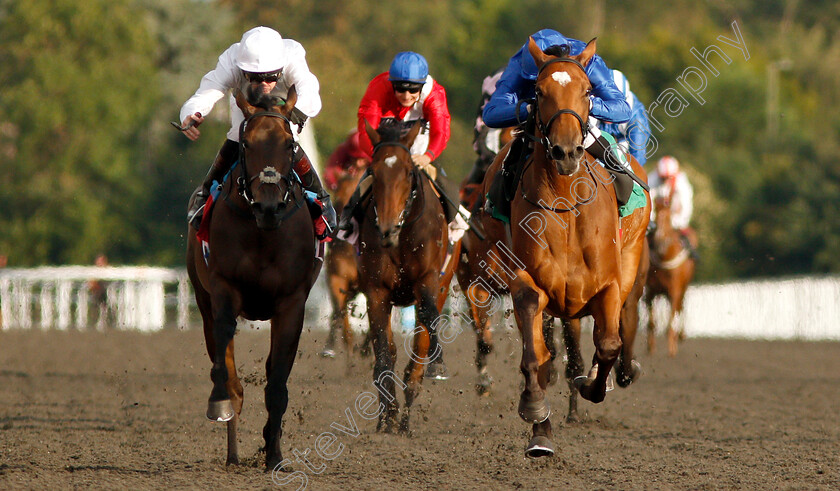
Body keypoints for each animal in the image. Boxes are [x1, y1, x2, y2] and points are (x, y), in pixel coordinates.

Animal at [185, 86, 320, 470]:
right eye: (246, 144)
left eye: (289, 144)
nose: (268, 206)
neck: (264, 233)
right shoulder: (223, 291)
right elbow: (226, 369)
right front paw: (222, 403)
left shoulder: (291, 304)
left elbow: (277, 383)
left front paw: (274, 456)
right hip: (202, 300)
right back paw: (232, 451)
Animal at [354, 119, 460, 434]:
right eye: (374, 171)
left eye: (408, 171)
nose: (387, 228)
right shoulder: (377, 292)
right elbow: (384, 354)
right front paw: (386, 416)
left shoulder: (427, 282)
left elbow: (427, 322)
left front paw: (437, 364)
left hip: (442, 283)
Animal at [472, 38, 648, 458]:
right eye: (538, 92)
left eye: (587, 90)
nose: (566, 152)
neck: (566, 203)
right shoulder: (525, 280)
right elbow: (535, 354)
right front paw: (537, 418)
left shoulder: (609, 283)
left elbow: (609, 343)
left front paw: (592, 383)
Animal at [644, 196, 696, 358]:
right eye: (656, 213)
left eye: (668, 218)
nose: (660, 241)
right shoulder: (651, 292)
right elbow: (651, 323)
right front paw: (651, 347)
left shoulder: (674, 291)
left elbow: (670, 322)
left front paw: (672, 349)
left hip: (682, 288)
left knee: (681, 307)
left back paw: (680, 336)